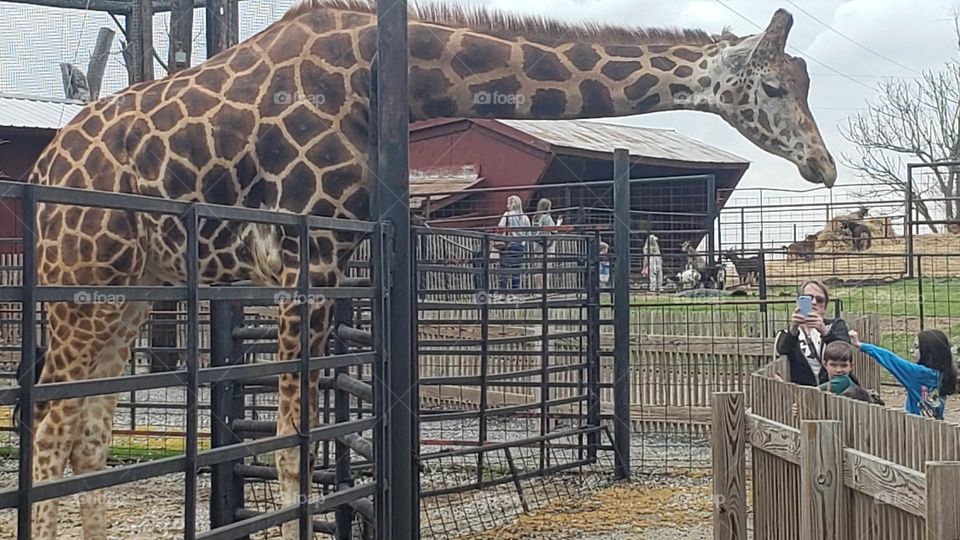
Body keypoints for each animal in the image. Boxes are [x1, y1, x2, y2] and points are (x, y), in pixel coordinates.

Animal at [22, 1, 836, 538]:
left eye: (804, 84)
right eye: (771, 87)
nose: (823, 166)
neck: (383, 76)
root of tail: (46, 165)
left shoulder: (337, 256)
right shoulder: (305, 254)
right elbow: (291, 456)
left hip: (131, 291)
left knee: (86, 435)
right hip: (80, 285)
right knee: (47, 430)